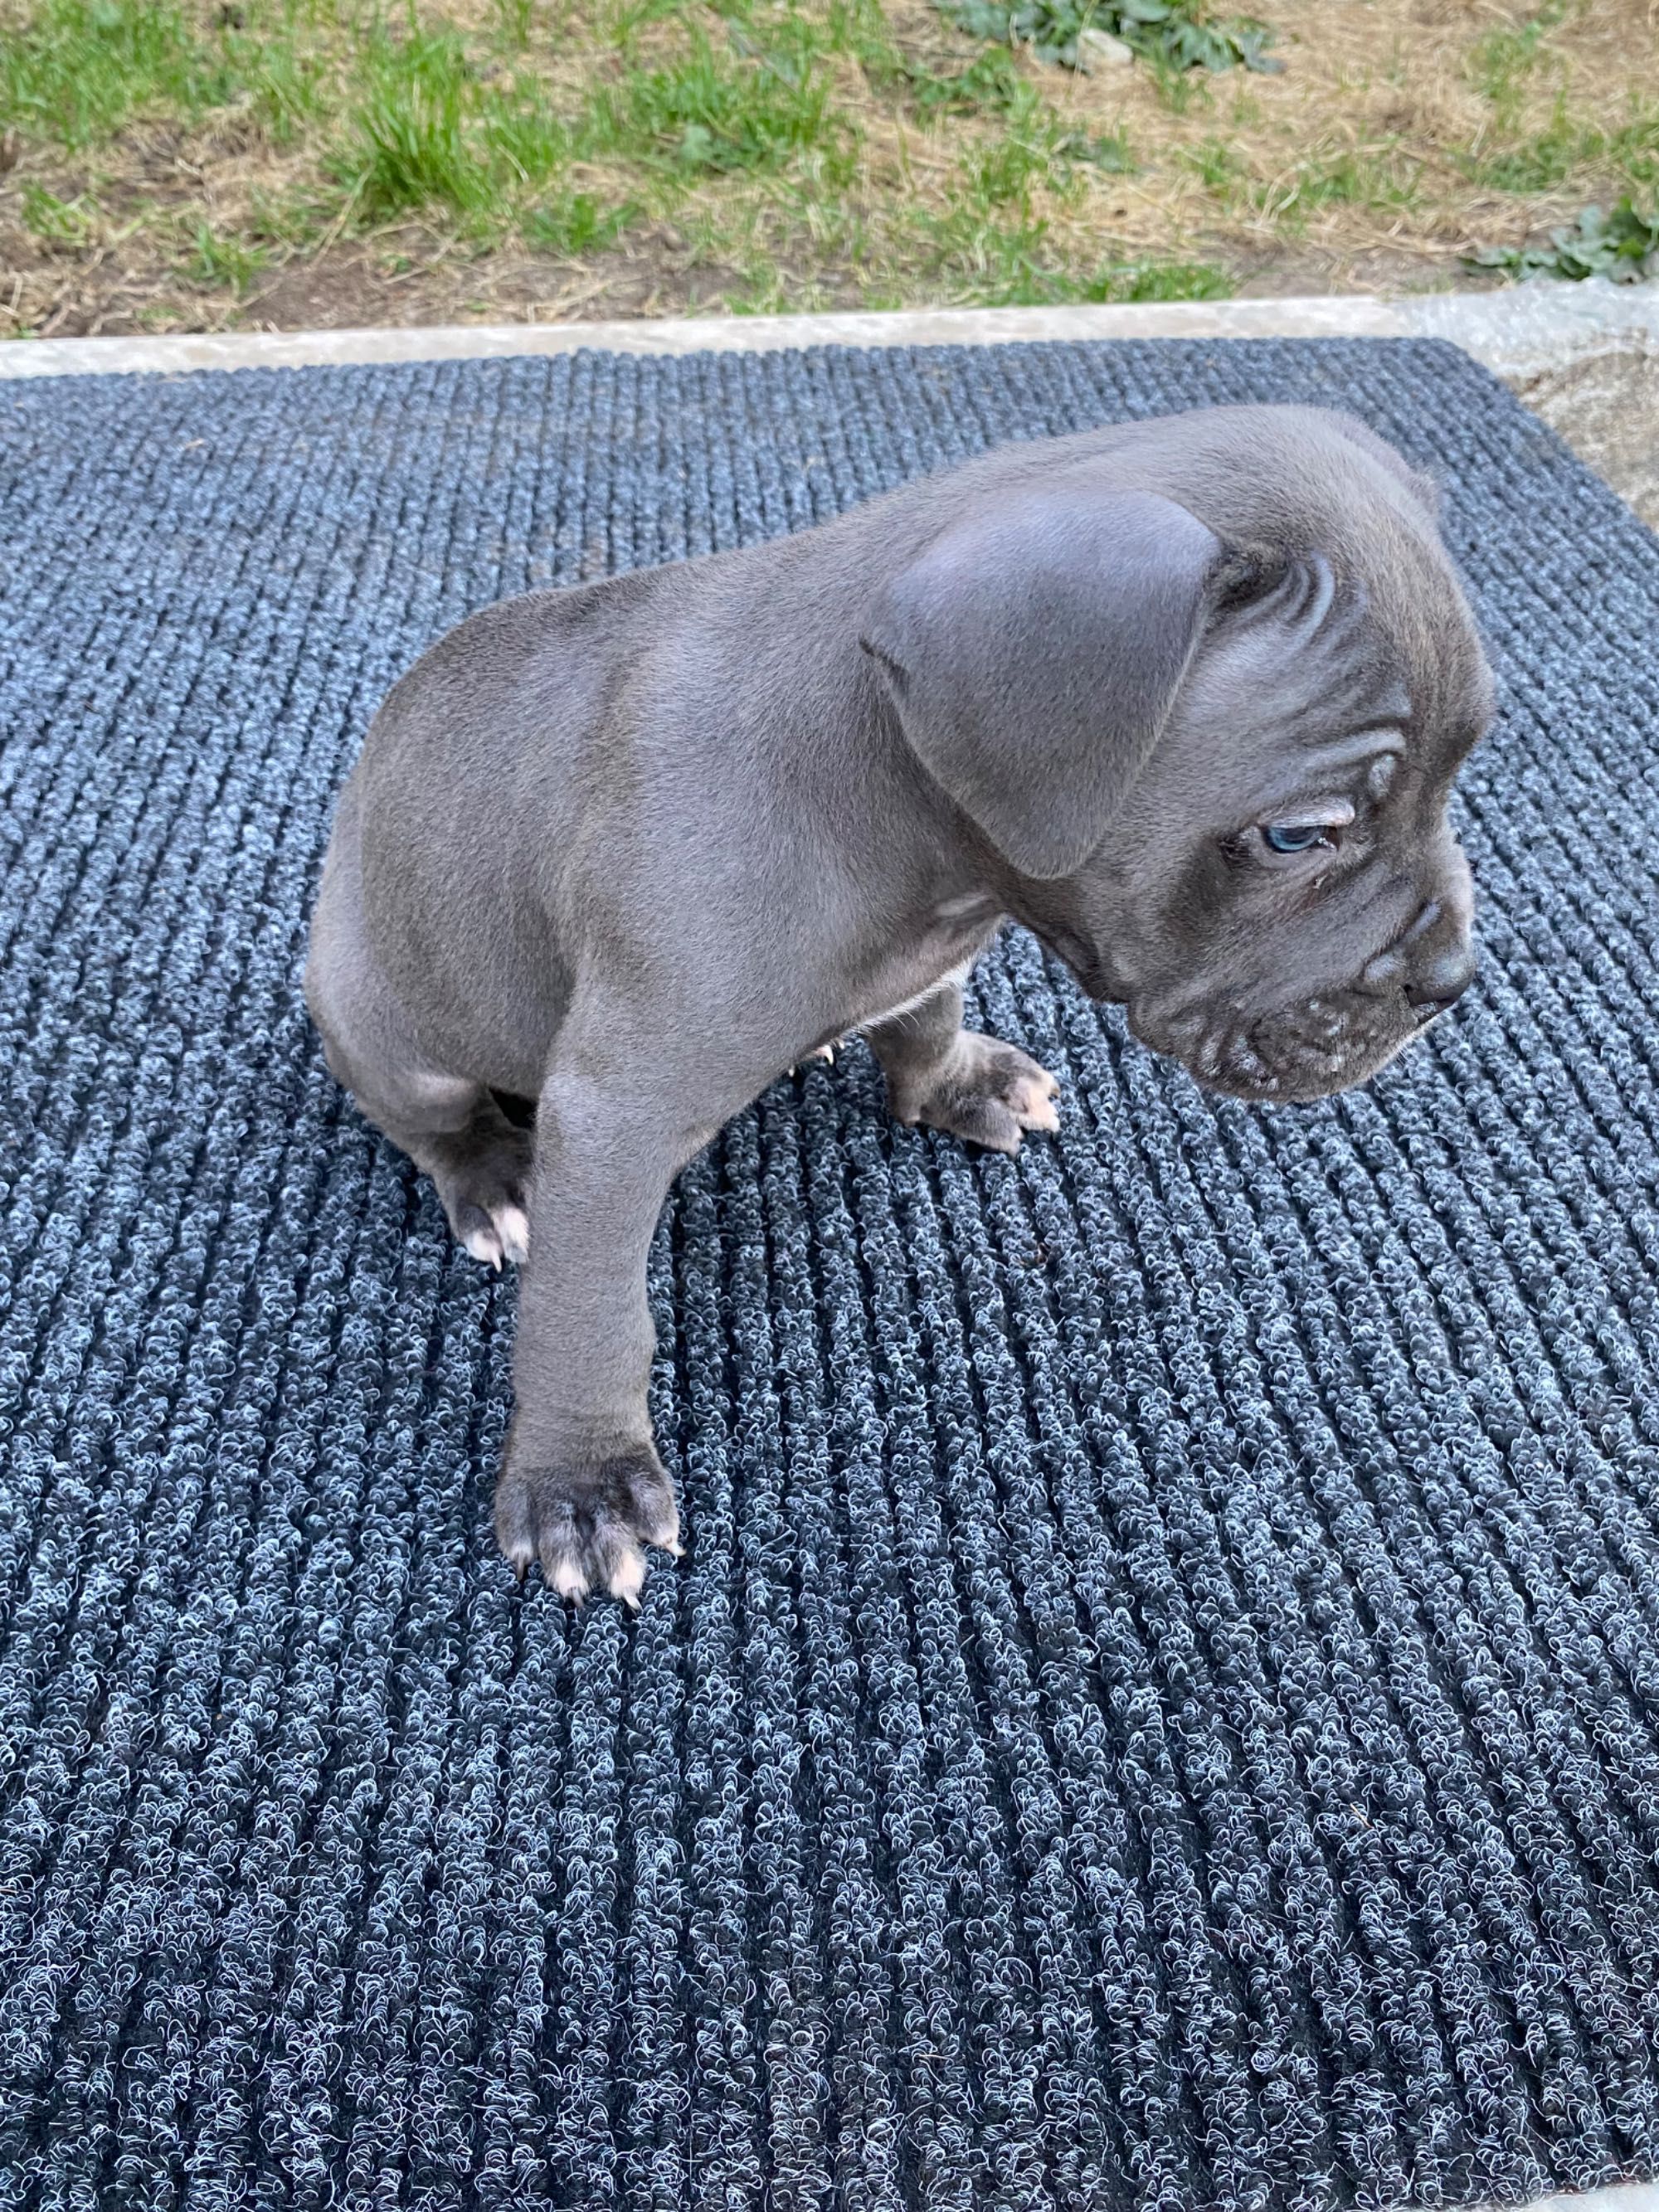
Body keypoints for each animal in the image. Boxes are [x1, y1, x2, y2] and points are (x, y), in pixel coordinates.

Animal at [309, 402, 1495, 1610]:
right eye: (1300, 834)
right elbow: (589, 1306)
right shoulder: (613, 1113)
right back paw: (494, 1179)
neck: (917, 833)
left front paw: (957, 1078)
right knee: (432, 1122)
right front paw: (578, 1484)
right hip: (382, 1019)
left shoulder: (934, 947)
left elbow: (924, 1012)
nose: (1449, 978)